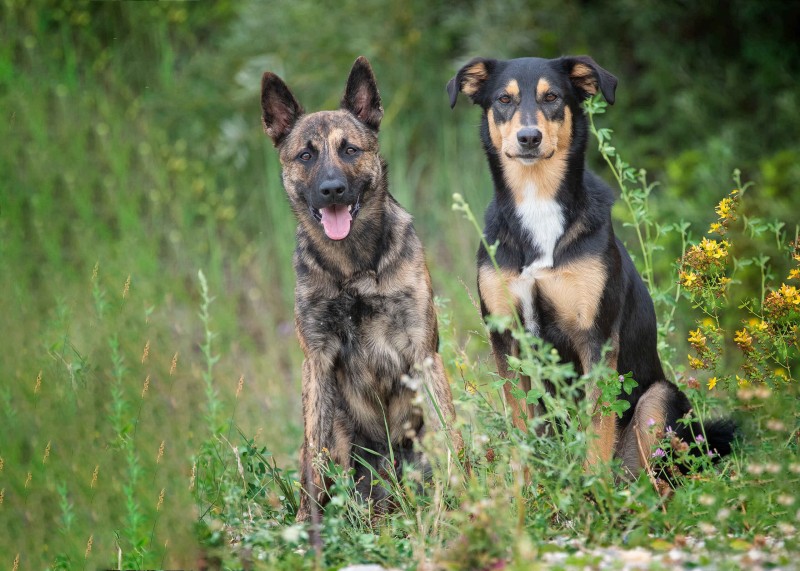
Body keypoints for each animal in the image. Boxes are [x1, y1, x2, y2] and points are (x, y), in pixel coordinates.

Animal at [262, 57, 460, 524]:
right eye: (306, 155)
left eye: (350, 149)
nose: (332, 189)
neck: (353, 268)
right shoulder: (316, 361)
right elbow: (312, 455)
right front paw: (306, 525)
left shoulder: (422, 351)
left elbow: (451, 432)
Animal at [446, 54, 736, 474]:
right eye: (503, 99)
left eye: (552, 97)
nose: (529, 137)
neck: (538, 202)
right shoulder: (505, 335)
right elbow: (520, 422)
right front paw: (526, 483)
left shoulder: (595, 337)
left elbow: (597, 430)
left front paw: (593, 488)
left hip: (658, 400)